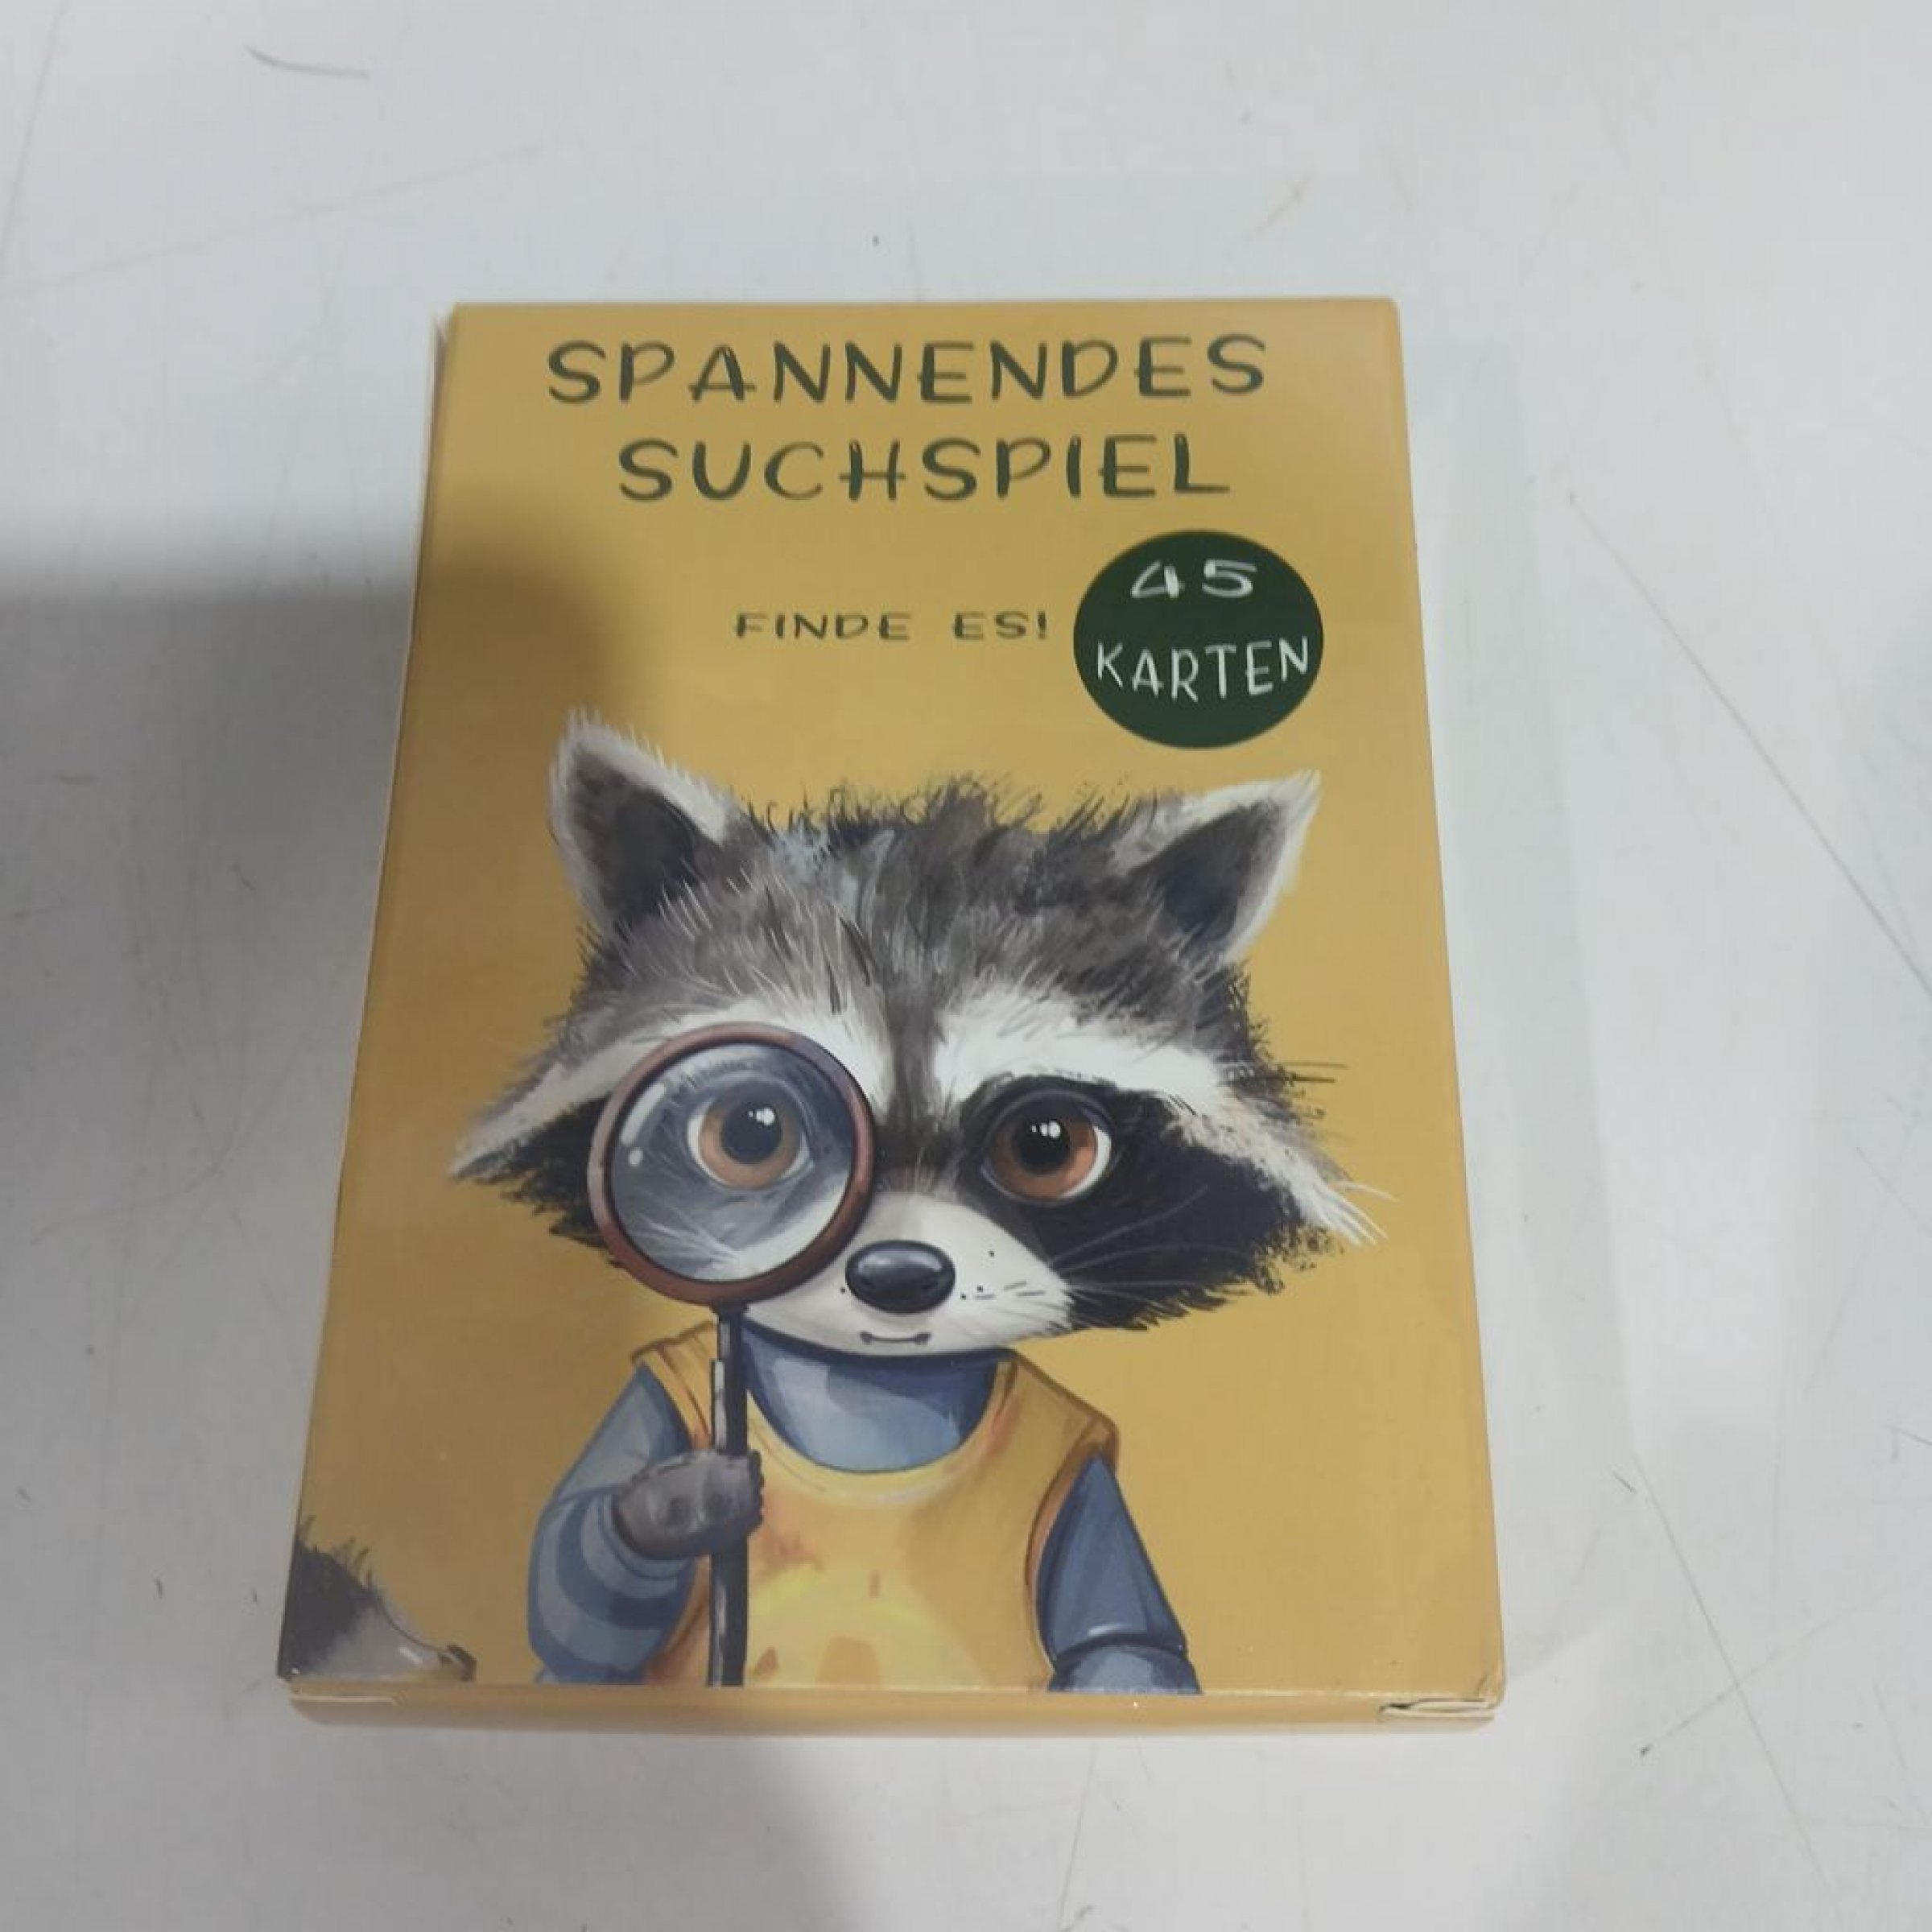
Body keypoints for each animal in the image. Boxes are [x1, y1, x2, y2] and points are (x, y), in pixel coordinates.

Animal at [456, 720, 1368, 1694]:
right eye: (751, 1132)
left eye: (1047, 1145)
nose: (898, 1276)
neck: (876, 1393)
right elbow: (570, 1603)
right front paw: (672, 1506)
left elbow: (1125, 1633)